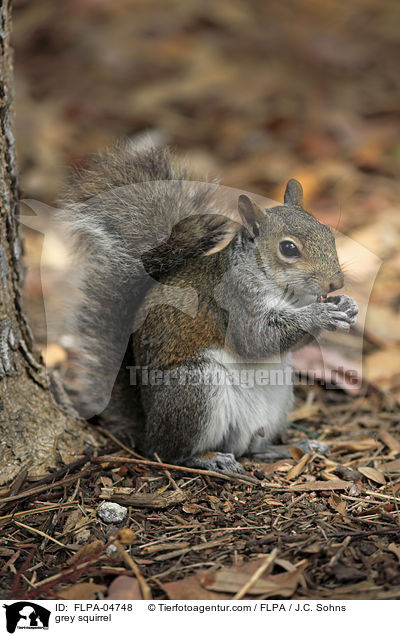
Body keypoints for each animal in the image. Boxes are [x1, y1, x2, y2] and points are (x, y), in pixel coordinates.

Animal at [61, 142, 360, 474]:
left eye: (328, 232)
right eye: (288, 248)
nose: (336, 283)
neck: (287, 293)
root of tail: (147, 427)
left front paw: (345, 305)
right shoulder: (233, 302)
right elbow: (254, 340)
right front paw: (319, 314)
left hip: (277, 398)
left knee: (252, 449)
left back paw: (295, 447)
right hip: (195, 390)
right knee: (171, 452)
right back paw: (209, 458)